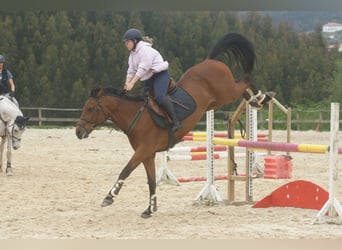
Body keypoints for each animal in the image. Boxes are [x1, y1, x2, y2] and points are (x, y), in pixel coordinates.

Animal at [76, 32, 274, 217]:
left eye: (91, 108)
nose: (78, 132)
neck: (136, 116)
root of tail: (210, 61)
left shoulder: (143, 150)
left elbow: (125, 171)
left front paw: (109, 197)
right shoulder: (147, 154)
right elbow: (151, 181)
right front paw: (150, 209)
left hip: (226, 92)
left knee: (246, 81)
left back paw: (263, 97)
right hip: (217, 101)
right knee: (244, 89)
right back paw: (254, 101)